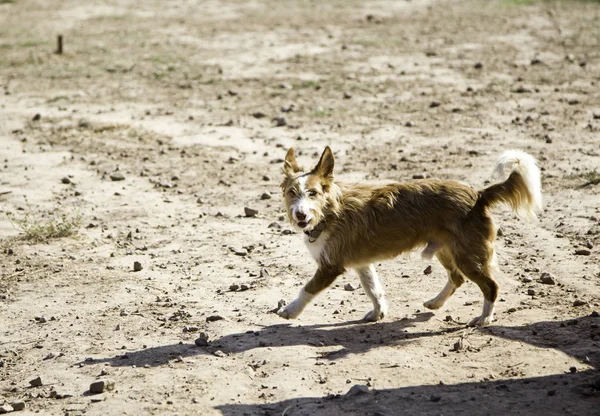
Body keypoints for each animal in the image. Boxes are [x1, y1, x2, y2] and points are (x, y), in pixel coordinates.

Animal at [276, 146, 544, 324]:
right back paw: (435, 302)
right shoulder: (362, 263)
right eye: (292, 193)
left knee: (490, 286)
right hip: (447, 250)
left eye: (313, 193)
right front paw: (378, 312)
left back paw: (484, 319)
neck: (330, 211)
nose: (300, 215)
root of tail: (478, 195)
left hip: (468, 255)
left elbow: (307, 289)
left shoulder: (330, 267)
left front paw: (290, 310)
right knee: (457, 278)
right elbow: (373, 289)